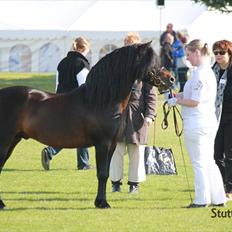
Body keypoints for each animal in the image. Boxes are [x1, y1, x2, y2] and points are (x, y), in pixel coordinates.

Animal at [0, 42, 174, 210]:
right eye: (152, 62)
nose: (171, 79)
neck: (101, 101)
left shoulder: (112, 145)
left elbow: (106, 173)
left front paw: (100, 201)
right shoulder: (102, 144)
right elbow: (102, 174)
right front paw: (102, 203)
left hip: (13, 140)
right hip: (6, 141)